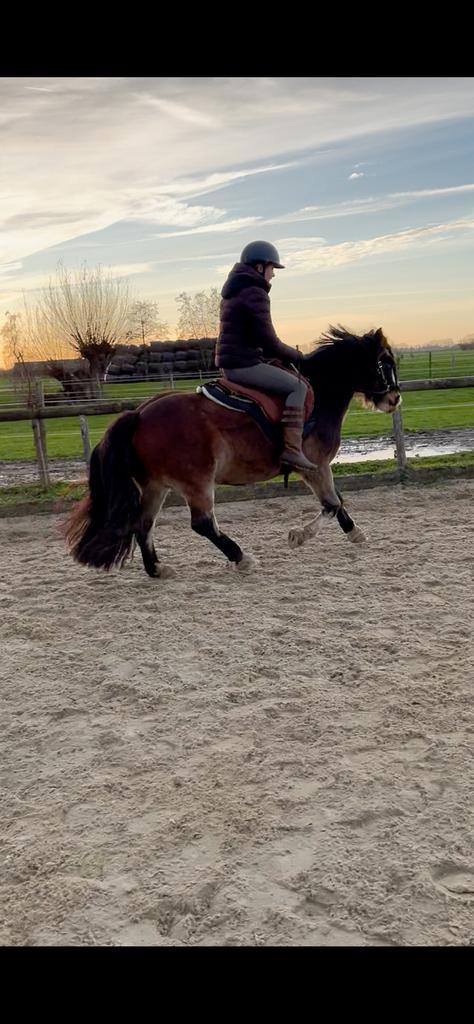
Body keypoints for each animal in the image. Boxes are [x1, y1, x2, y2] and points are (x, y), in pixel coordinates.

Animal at [65, 326, 400, 577]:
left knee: (143, 524)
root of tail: (139, 413)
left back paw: (157, 569)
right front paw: (299, 536)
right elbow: (331, 504)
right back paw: (241, 557)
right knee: (202, 524)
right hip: (196, 482)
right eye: (385, 362)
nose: (395, 398)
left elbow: (337, 501)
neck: (320, 392)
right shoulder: (315, 466)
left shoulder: (317, 469)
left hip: (156, 486)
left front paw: (355, 532)